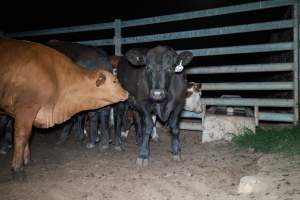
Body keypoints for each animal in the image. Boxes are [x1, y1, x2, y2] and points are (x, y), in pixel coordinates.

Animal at [0, 38, 127, 179]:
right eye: (114, 81)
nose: (126, 93)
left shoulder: (26, 108)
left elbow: (20, 133)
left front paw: (17, 165)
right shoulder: (24, 109)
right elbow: (22, 134)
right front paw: (22, 162)